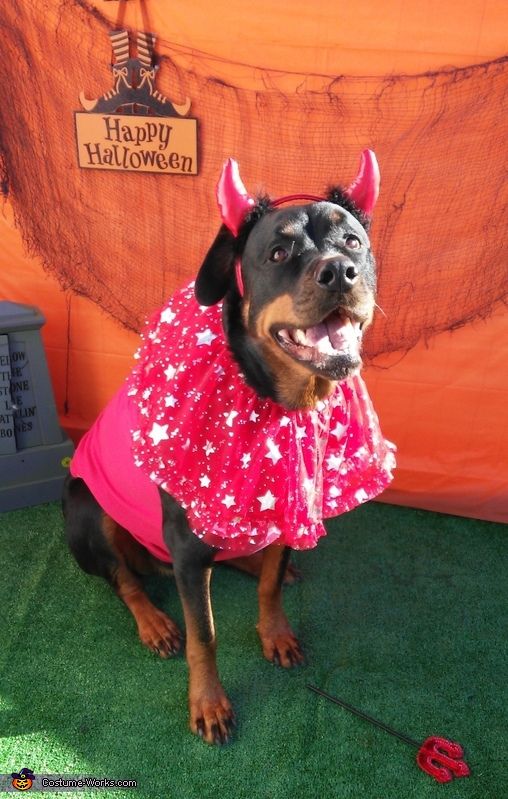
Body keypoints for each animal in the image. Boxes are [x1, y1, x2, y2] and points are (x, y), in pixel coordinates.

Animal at [63, 153, 394, 748]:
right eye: (278, 253)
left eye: (353, 241)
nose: (339, 272)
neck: (274, 398)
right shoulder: (187, 544)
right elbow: (206, 634)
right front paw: (209, 703)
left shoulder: (290, 500)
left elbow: (270, 589)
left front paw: (276, 630)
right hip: (83, 509)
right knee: (124, 580)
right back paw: (154, 620)